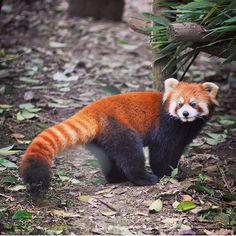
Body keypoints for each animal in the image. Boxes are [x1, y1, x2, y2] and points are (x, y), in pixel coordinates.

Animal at [19, 78, 218, 195]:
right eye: (179, 104)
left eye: (193, 104)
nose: (185, 113)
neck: (184, 124)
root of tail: (92, 109)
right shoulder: (165, 126)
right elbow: (160, 152)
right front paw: (165, 173)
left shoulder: (185, 133)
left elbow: (176, 150)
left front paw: (176, 169)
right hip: (119, 127)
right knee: (131, 153)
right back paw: (143, 178)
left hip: (101, 138)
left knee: (109, 157)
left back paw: (116, 177)